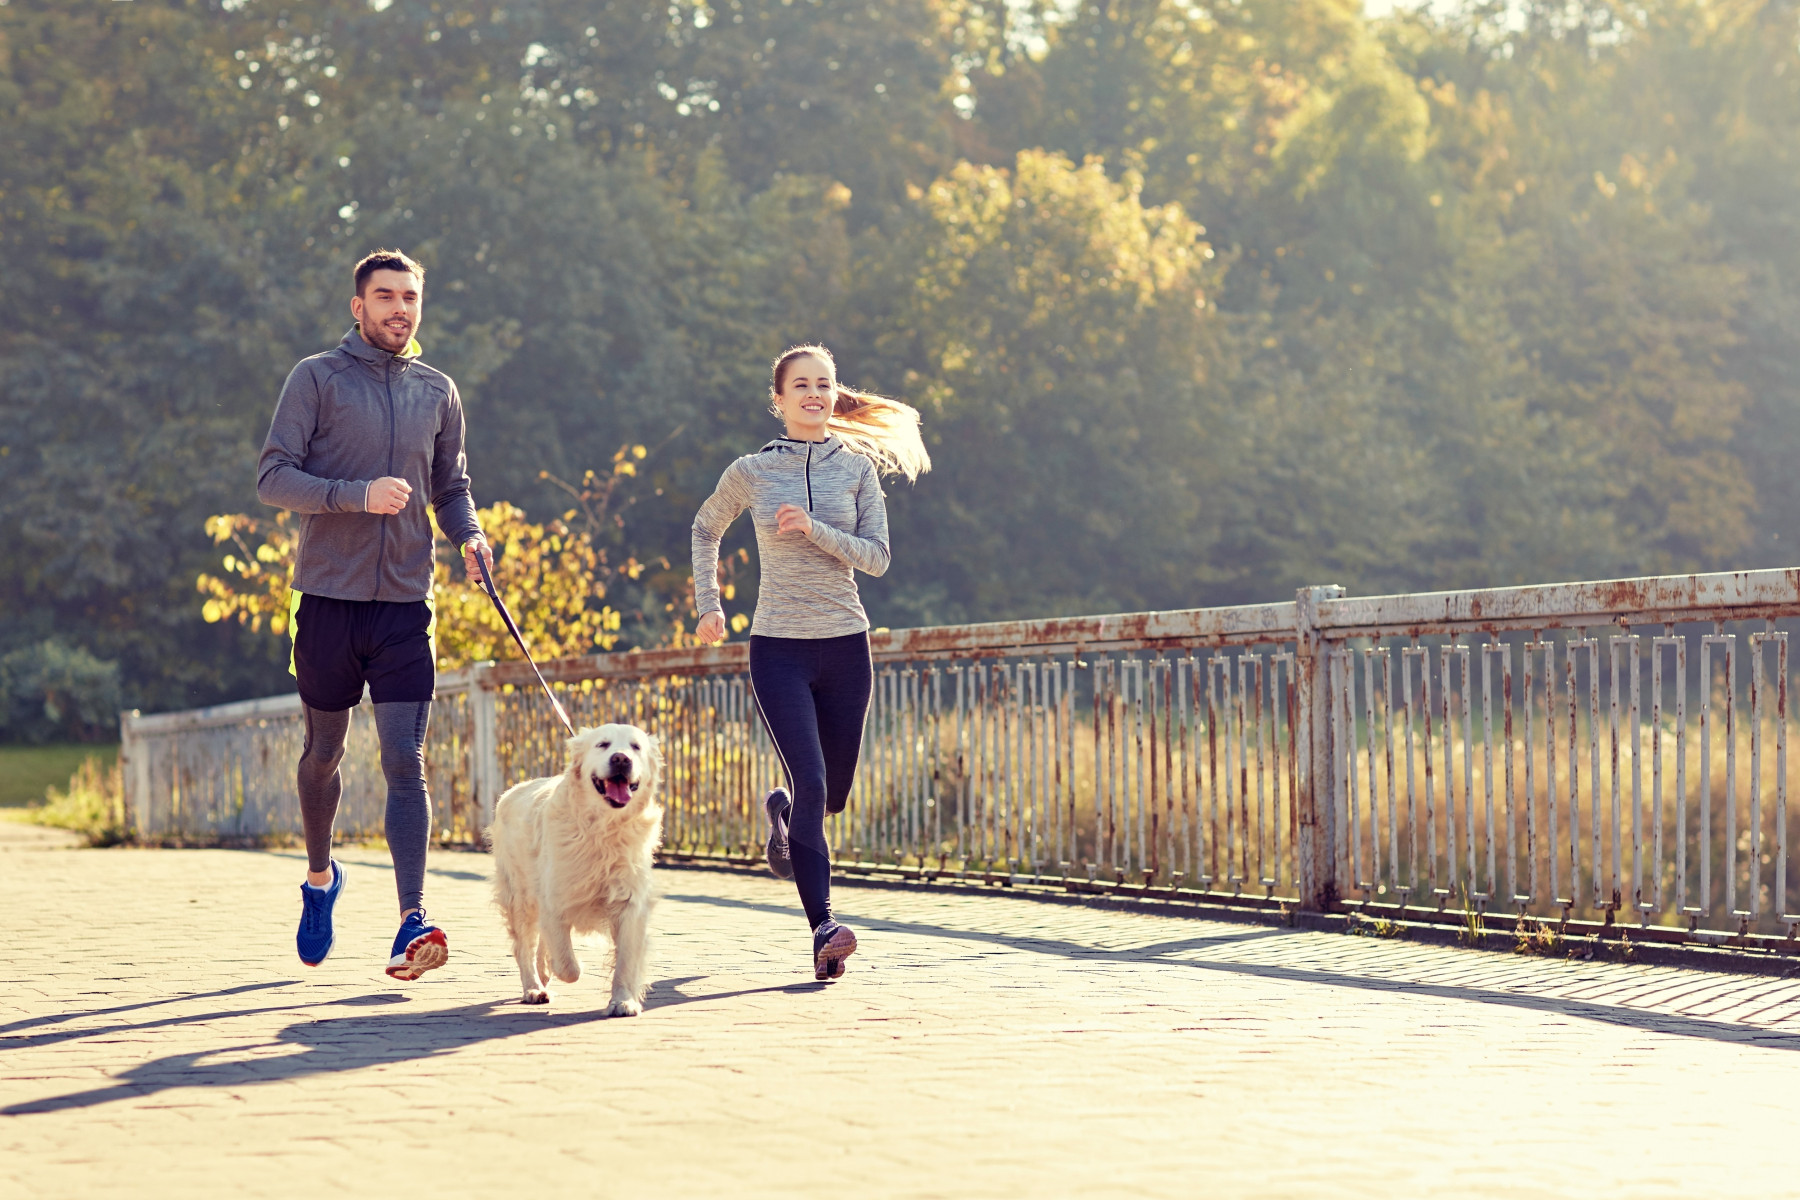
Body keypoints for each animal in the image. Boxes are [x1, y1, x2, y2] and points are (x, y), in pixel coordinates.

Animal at [489, 723, 666, 1014]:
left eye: (636, 747)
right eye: (602, 744)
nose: (621, 759)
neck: (604, 829)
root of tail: (514, 790)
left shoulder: (630, 904)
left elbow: (626, 960)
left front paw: (623, 1001)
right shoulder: (554, 899)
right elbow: (567, 965)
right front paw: (564, 968)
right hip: (520, 897)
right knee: (524, 947)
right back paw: (534, 988)